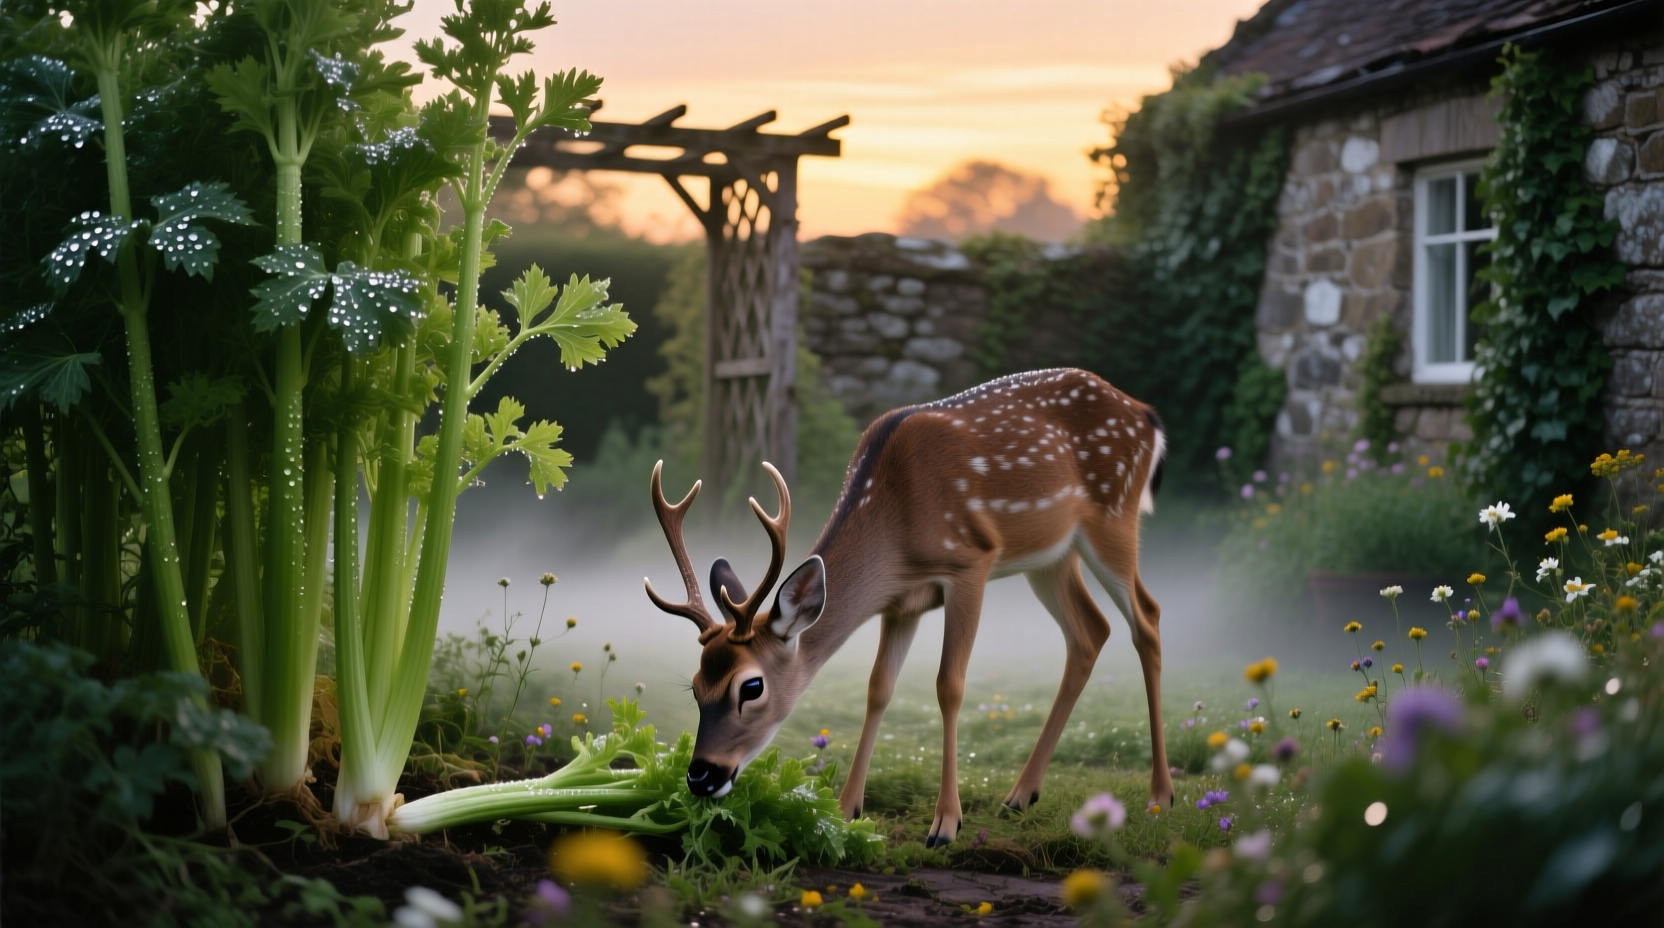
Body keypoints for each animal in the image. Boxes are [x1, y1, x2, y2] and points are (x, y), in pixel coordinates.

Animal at [644, 368, 1172, 847]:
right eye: (695, 686)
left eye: (750, 686)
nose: (701, 776)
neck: (897, 532)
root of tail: (1146, 416)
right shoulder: (901, 603)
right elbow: (878, 688)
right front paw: (846, 810)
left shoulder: (970, 562)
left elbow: (949, 685)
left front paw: (945, 825)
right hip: (1050, 557)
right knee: (1091, 631)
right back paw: (1021, 795)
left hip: (1113, 517)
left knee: (1147, 617)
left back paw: (1160, 796)